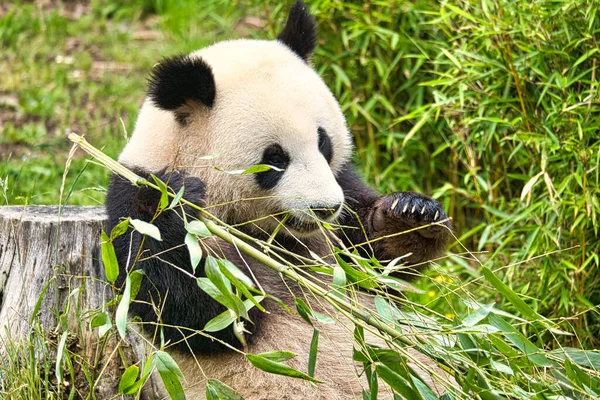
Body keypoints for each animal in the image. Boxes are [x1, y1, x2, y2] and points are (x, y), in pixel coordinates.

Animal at [106, 1, 450, 398]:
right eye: (274, 159)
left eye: (323, 142)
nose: (325, 208)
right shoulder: (132, 198)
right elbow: (198, 308)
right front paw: (176, 200)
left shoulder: (341, 199)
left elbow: (375, 265)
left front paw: (411, 215)